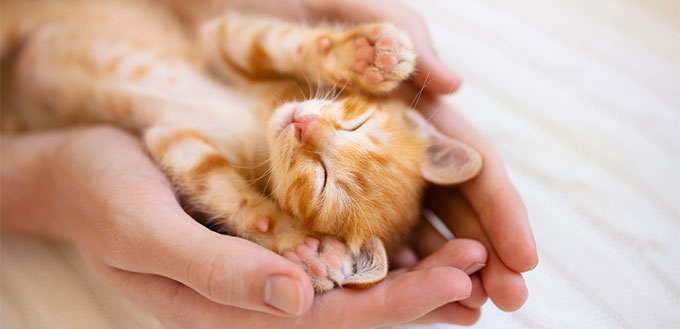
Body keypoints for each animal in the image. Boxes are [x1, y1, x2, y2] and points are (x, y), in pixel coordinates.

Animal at [2, 0, 486, 292]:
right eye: (356, 123)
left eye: (322, 180)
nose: (305, 124)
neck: (258, 126)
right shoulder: (221, 42)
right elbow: (265, 42)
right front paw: (360, 56)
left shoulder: (175, 138)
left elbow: (219, 186)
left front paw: (302, 246)